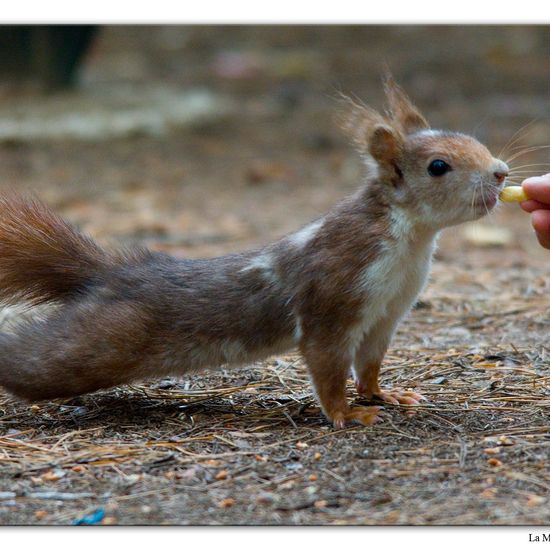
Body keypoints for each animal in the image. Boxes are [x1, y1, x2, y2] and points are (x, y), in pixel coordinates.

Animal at [0, 78, 512, 432]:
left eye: (472, 139)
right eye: (438, 166)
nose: (501, 172)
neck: (411, 243)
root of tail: (108, 275)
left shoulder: (386, 315)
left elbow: (369, 364)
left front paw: (385, 396)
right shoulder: (334, 294)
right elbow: (327, 364)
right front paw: (346, 415)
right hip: (98, 343)